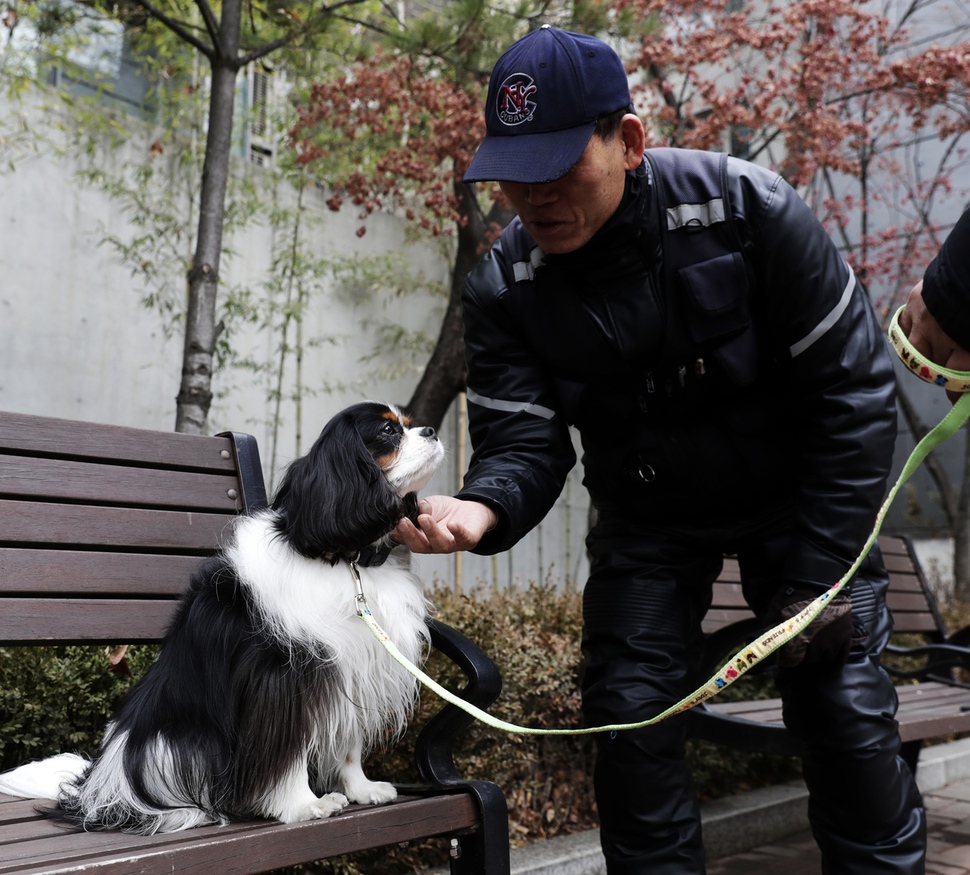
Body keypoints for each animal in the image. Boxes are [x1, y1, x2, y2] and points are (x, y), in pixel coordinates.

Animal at [0, 402, 444, 836]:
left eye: (408, 423)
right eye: (388, 432)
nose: (432, 431)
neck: (348, 560)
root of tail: (98, 783)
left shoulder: (352, 665)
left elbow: (348, 745)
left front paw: (361, 789)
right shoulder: (282, 680)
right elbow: (287, 752)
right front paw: (303, 806)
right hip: (176, 746)